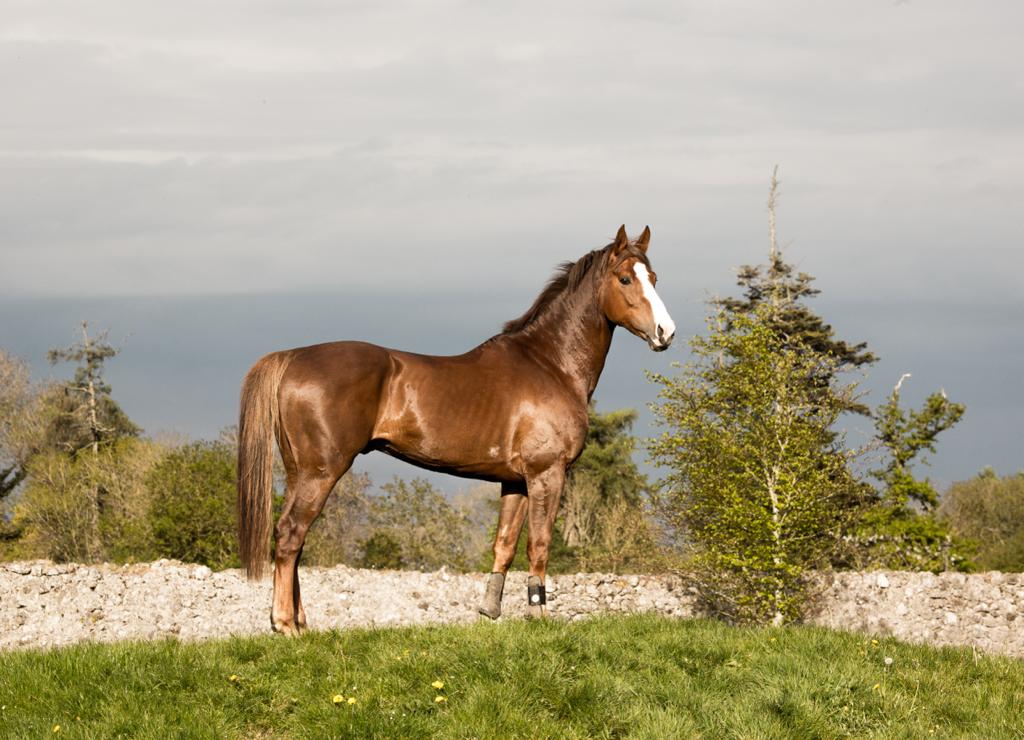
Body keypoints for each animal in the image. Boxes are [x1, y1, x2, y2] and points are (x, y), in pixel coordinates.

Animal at [237, 225, 676, 634]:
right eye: (625, 278)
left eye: (654, 277)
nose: (665, 333)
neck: (550, 364)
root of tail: (292, 357)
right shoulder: (546, 474)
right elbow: (539, 544)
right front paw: (538, 613)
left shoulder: (515, 481)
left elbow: (504, 545)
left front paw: (489, 612)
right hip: (322, 471)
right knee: (291, 533)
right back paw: (285, 625)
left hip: (300, 471)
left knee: (293, 537)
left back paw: (300, 622)